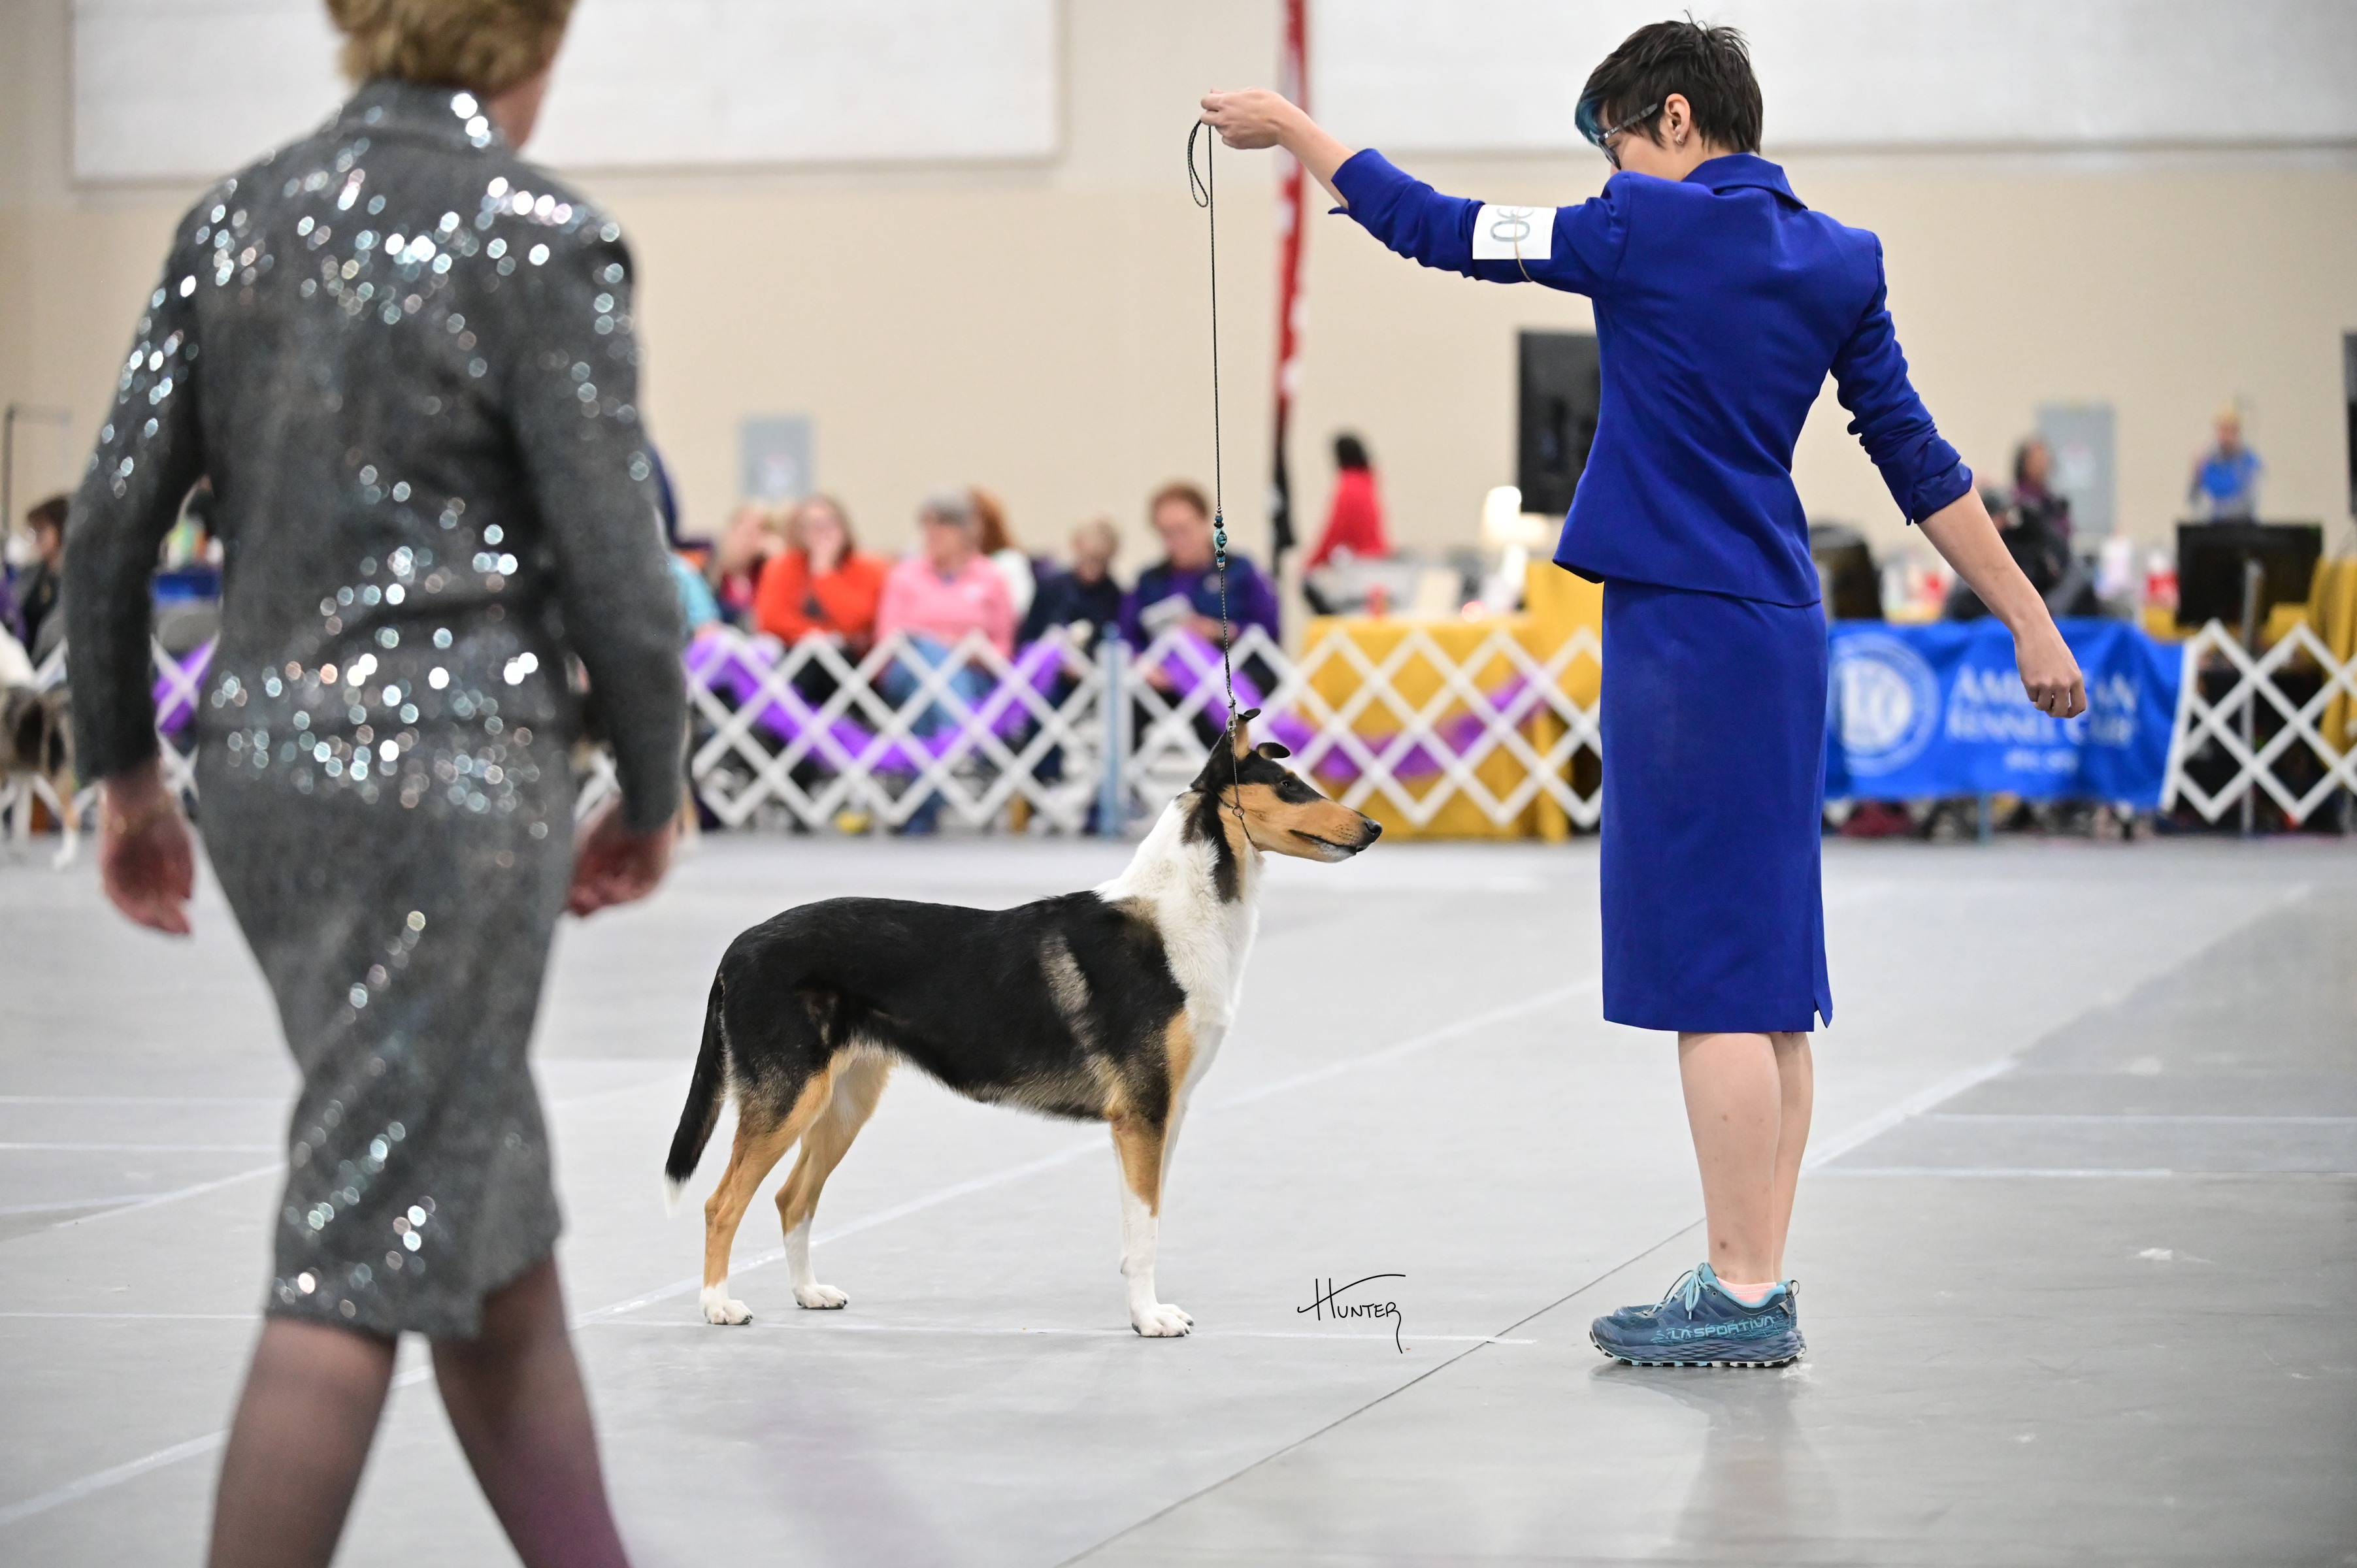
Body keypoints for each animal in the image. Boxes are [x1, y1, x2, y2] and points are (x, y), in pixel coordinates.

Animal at [665, 709, 1381, 1336]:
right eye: (1290, 787)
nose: (1373, 826)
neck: (1179, 917)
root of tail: (739, 945)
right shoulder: (1141, 1113)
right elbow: (1144, 1229)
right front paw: (1149, 1320)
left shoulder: (1167, 1113)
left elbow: (1145, 1224)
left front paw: (1146, 1310)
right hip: (788, 1098)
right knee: (720, 1202)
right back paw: (718, 1306)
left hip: (843, 1102)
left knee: (791, 1197)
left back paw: (809, 1293)